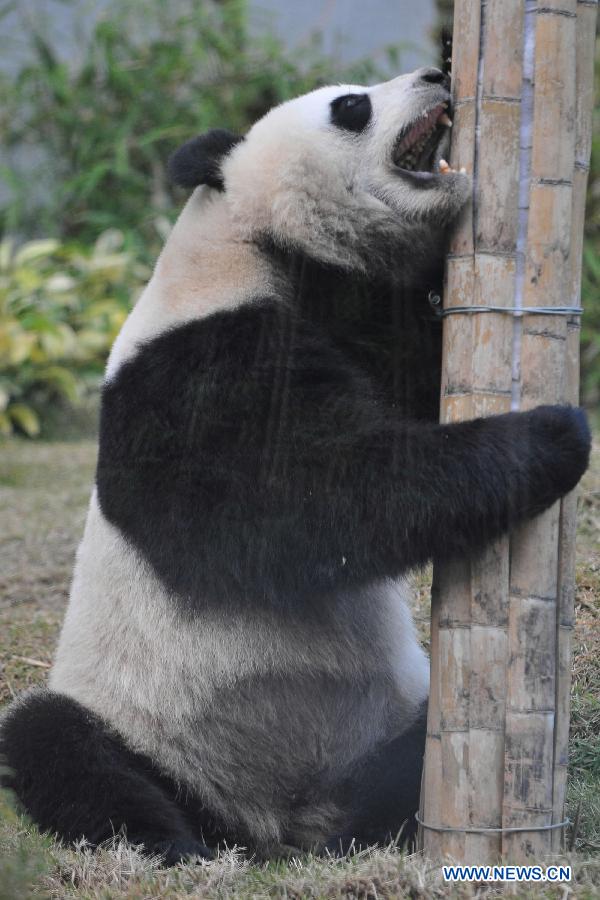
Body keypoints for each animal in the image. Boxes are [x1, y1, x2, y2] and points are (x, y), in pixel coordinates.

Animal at [0, 67, 592, 860]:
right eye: (351, 106)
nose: (436, 73)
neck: (258, 241)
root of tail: (276, 823)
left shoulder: (352, 320)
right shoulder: (193, 362)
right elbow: (292, 504)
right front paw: (552, 434)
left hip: (386, 723)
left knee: (415, 751)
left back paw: (373, 826)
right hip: (147, 723)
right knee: (57, 746)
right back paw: (174, 844)